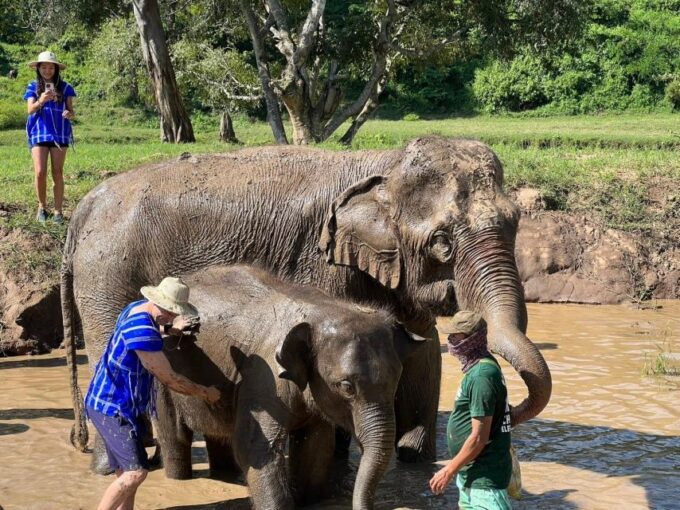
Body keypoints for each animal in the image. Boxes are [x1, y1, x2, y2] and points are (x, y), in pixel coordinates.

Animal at [62, 136, 551, 471]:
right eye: (442, 243)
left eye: (515, 222)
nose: (510, 412)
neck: (384, 164)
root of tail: (82, 207)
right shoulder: (321, 262)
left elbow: (423, 347)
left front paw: (413, 458)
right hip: (106, 277)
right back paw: (117, 465)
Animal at [154, 264, 424, 509]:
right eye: (347, 387)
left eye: (396, 380)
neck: (323, 310)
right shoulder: (263, 376)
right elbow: (257, 449)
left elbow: (315, 447)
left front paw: (309, 501)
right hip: (160, 373)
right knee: (175, 436)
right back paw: (179, 477)